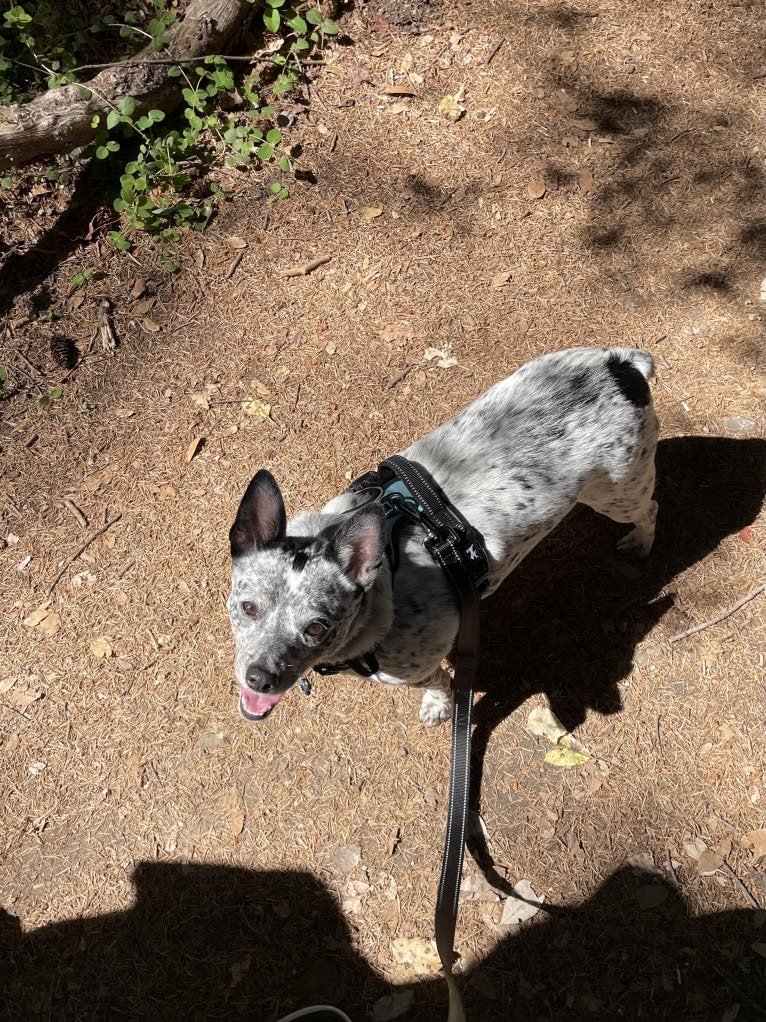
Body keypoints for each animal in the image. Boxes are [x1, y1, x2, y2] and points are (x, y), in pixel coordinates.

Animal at [227, 349, 661, 727]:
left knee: (651, 510)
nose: (260, 678)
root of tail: (618, 364)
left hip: (619, 493)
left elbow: (438, 682)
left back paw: (641, 544)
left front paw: (438, 706)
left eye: (317, 626)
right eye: (247, 607)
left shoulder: (418, 666)